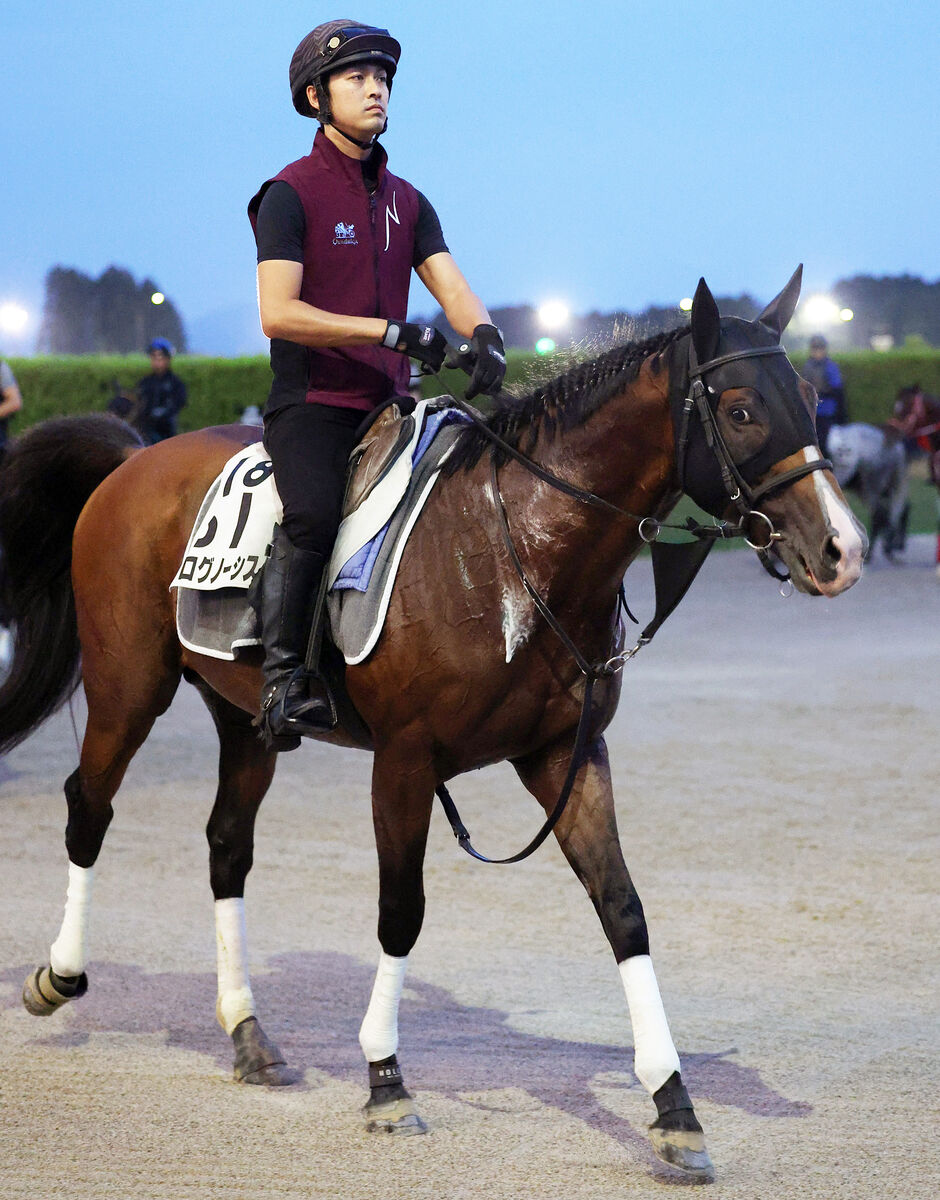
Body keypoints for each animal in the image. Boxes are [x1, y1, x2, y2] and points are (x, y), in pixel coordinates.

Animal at [0, 272, 869, 1180]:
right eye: (740, 409)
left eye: (811, 395)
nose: (843, 548)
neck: (512, 544)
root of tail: (136, 458)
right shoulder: (405, 762)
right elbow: (401, 910)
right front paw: (385, 1079)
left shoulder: (564, 754)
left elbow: (622, 908)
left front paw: (674, 1106)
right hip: (129, 688)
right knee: (89, 806)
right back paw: (59, 975)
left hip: (243, 719)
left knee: (227, 845)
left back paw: (247, 1032)